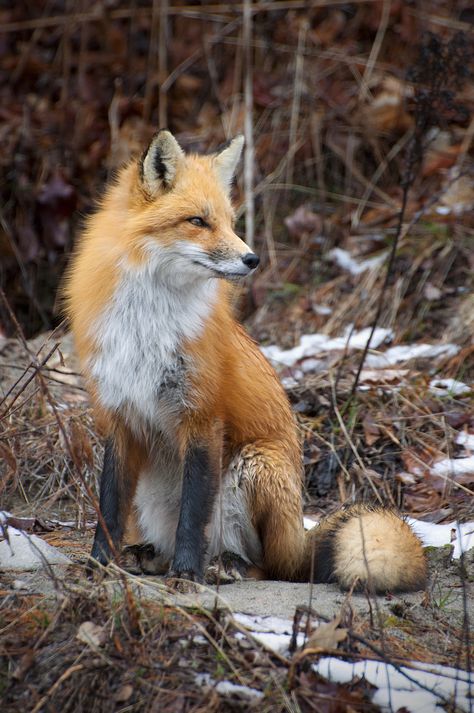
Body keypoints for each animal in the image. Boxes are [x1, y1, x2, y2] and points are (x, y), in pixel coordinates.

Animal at [64, 129, 426, 588]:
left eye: (230, 222)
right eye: (198, 221)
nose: (252, 259)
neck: (146, 326)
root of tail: (299, 538)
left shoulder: (202, 415)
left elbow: (193, 514)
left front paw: (187, 574)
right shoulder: (120, 414)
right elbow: (108, 507)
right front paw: (98, 565)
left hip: (257, 467)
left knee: (271, 567)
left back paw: (226, 565)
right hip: (153, 487)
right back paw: (151, 555)